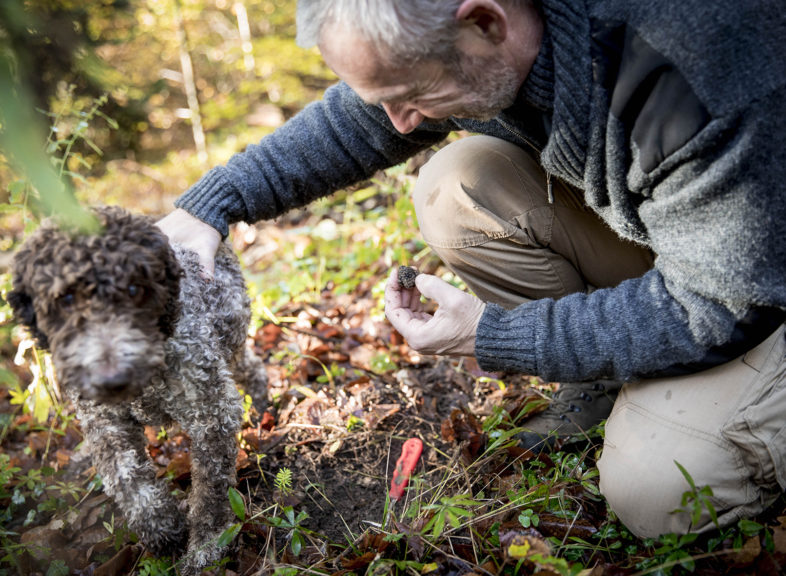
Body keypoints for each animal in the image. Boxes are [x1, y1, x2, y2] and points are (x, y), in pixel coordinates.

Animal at [6, 206, 266, 572]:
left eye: (134, 289)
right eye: (66, 298)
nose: (112, 378)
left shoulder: (212, 412)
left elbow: (212, 492)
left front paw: (207, 546)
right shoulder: (105, 425)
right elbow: (128, 481)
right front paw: (163, 530)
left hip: (231, 339)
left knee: (250, 367)